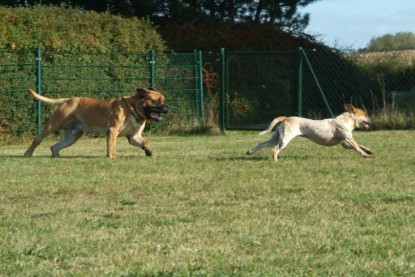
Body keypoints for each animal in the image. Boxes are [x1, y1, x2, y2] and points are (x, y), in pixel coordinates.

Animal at [24, 88, 169, 157]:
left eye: (163, 100)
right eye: (157, 101)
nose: (167, 107)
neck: (132, 109)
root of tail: (67, 99)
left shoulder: (134, 136)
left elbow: (146, 142)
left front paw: (148, 151)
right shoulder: (112, 131)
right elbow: (112, 146)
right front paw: (112, 156)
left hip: (73, 136)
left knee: (55, 146)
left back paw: (57, 156)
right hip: (53, 124)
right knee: (38, 139)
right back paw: (28, 154)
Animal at [245, 103, 376, 160]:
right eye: (365, 114)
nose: (370, 119)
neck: (346, 120)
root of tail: (286, 118)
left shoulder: (344, 143)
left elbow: (360, 145)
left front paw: (369, 151)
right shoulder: (348, 138)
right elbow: (357, 147)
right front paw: (365, 155)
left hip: (276, 138)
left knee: (261, 144)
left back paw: (250, 152)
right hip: (285, 139)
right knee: (274, 150)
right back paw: (276, 160)